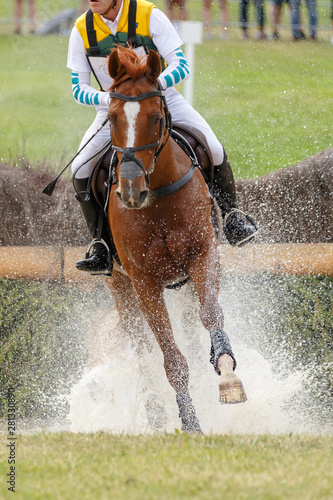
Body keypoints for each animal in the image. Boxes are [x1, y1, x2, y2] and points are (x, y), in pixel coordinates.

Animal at [105, 47, 245, 434]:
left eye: (155, 118)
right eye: (111, 118)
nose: (131, 191)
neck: (157, 199)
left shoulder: (203, 256)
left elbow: (211, 315)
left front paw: (227, 375)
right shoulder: (145, 284)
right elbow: (170, 359)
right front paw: (190, 421)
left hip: (183, 285)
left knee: (194, 331)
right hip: (122, 288)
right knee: (141, 349)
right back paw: (154, 413)